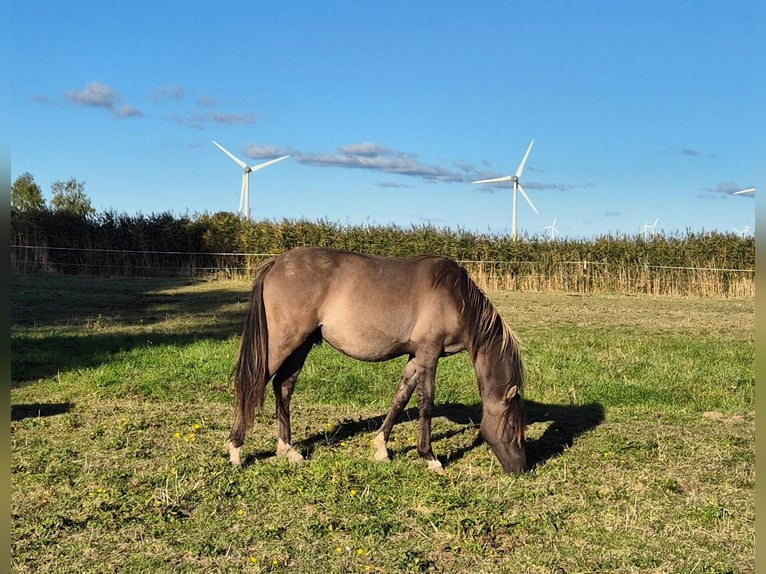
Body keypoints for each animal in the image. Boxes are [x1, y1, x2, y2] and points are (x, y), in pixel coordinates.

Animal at [228, 248, 528, 476]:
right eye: (513, 427)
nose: (522, 469)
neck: (457, 298)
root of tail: (277, 263)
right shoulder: (428, 354)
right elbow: (426, 404)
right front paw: (430, 458)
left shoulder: (415, 357)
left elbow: (400, 398)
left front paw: (381, 448)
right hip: (282, 344)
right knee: (254, 384)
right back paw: (235, 449)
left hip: (301, 345)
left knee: (284, 386)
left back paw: (287, 449)